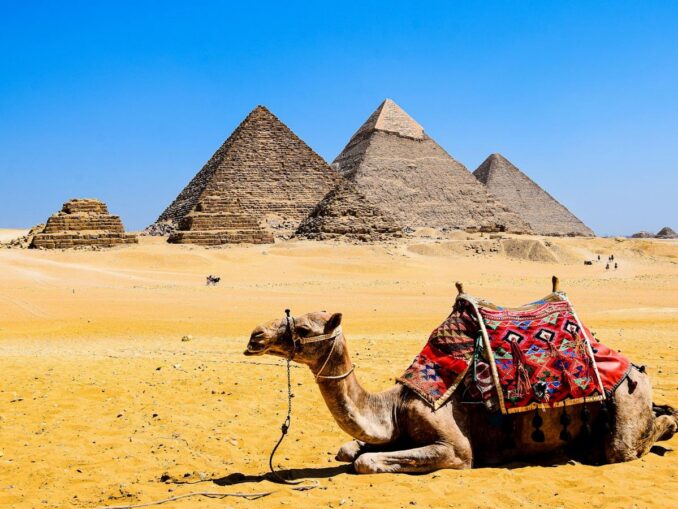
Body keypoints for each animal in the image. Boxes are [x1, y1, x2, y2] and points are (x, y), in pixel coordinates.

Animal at [244, 311, 677, 473]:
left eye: (303, 329)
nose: (255, 336)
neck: (393, 407)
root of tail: (634, 367)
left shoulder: (456, 448)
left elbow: (364, 462)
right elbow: (348, 450)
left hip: (626, 402)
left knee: (627, 444)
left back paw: (666, 425)